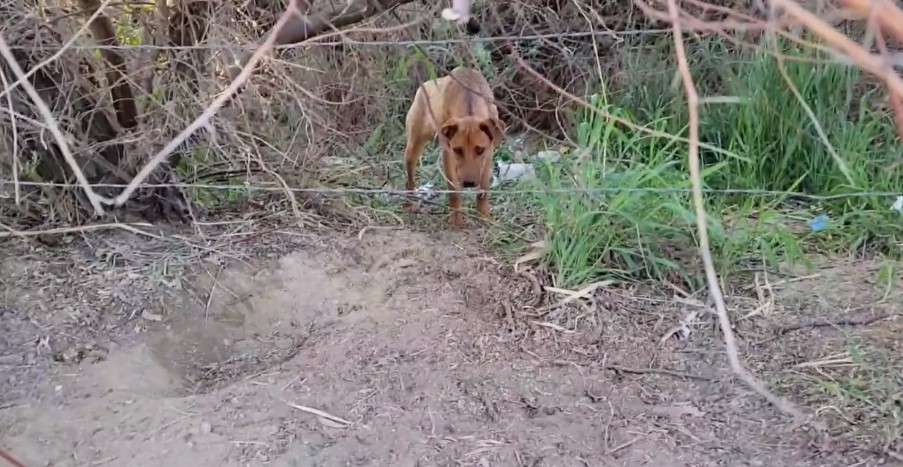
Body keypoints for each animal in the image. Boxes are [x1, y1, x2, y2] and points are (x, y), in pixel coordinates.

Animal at [404, 66, 504, 228]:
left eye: (480, 150)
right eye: (457, 150)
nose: (468, 183)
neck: (469, 100)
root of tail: (424, 86)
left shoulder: (488, 154)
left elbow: (483, 190)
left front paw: (484, 217)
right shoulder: (448, 152)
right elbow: (453, 189)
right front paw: (456, 219)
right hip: (414, 145)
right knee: (410, 175)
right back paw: (408, 202)